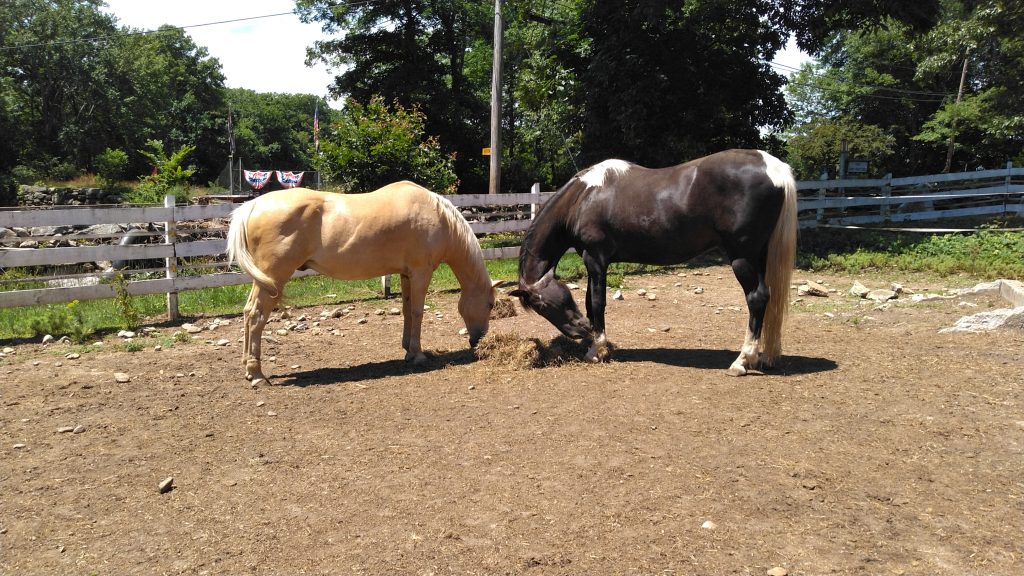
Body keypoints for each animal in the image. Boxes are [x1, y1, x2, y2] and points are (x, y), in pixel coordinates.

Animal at [227, 181, 495, 383]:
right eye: (491, 305)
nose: (478, 340)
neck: (438, 216)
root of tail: (253, 205)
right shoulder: (421, 272)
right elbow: (418, 311)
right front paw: (418, 355)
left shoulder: (406, 274)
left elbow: (407, 311)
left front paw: (408, 351)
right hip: (273, 279)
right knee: (256, 315)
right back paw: (256, 373)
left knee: (248, 312)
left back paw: (248, 366)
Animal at [512, 145, 798, 375]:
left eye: (541, 306)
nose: (581, 330)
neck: (582, 198)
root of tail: (773, 167)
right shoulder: (594, 262)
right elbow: (590, 302)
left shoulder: (595, 259)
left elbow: (597, 303)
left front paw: (597, 349)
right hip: (760, 256)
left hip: (742, 257)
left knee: (756, 298)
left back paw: (742, 361)